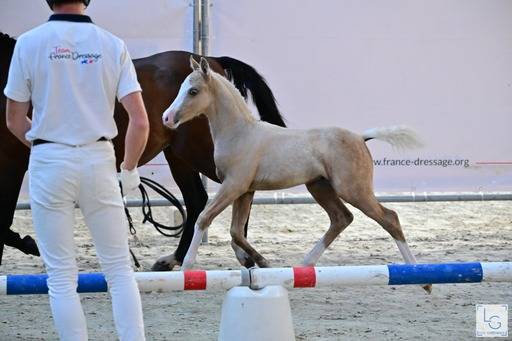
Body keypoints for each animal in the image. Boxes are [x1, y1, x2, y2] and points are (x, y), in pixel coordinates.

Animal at [0, 32, 286, 270]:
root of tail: (214, 62)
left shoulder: (12, 163)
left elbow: (4, 222)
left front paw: (30, 244)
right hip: (179, 156)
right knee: (198, 200)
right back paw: (175, 258)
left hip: (203, 153)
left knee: (235, 190)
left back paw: (243, 253)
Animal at [164, 57, 432, 290]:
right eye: (180, 88)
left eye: (193, 91)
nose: (166, 118)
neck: (240, 133)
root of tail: (360, 137)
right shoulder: (245, 190)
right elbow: (236, 231)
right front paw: (263, 262)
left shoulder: (234, 186)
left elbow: (204, 218)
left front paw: (186, 267)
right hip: (319, 187)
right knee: (341, 218)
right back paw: (304, 267)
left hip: (353, 190)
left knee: (390, 218)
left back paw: (423, 280)